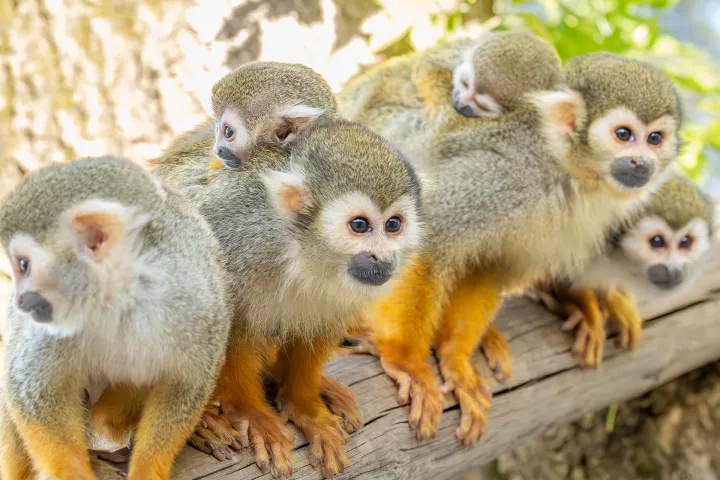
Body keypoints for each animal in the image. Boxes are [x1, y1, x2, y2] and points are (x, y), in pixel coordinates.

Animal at [0, 156, 230, 480]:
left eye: (23, 264)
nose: (19, 300)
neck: (118, 296)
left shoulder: (197, 299)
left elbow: (184, 384)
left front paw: (147, 470)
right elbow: (33, 390)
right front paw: (72, 473)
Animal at [146, 116, 423, 478]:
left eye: (393, 225)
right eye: (360, 225)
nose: (384, 258)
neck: (300, 249)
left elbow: (319, 330)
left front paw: (306, 407)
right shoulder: (235, 234)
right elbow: (228, 329)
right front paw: (253, 415)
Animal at [340, 50, 683, 448]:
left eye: (655, 138)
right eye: (624, 135)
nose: (643, 163)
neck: (565, 170)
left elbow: (489, 269)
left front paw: (455, 359)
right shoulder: (501, 176)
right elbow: (424, 240)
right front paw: (406, 361)